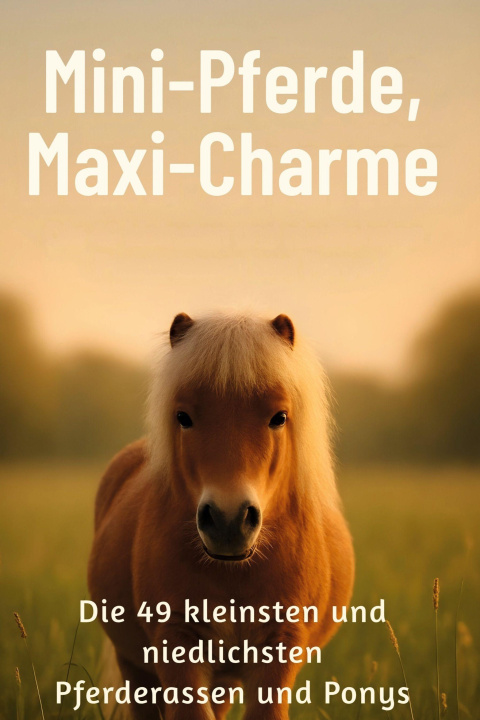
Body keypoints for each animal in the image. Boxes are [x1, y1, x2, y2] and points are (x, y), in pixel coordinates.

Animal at [88, 311, 354, 720]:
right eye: (183, 416)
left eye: (279, 416)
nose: (229, 521)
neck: (234, 574)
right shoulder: (176, 643)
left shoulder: (279, 647)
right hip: (134, 664)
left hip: (224, 676)